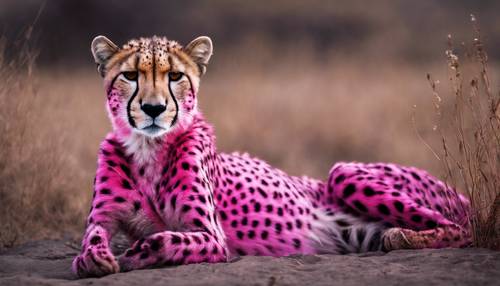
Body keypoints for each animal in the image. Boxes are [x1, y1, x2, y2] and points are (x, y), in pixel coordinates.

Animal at [71, 35, 472, 278]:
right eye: (129, 75)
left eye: (174, 77)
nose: (153, 109)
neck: (148, 147)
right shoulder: (102, 219)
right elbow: (92, 237)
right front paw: (92, 257)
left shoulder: (212, 237)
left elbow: (168, 239)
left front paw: (135, 252)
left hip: (343, 172)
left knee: (463, 229)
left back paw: (401, 236)